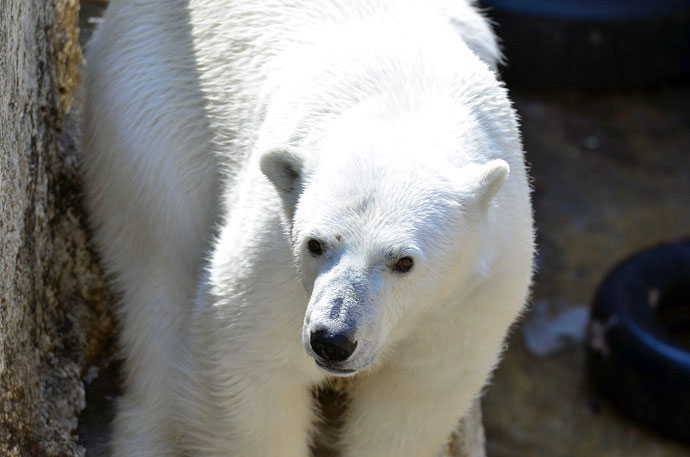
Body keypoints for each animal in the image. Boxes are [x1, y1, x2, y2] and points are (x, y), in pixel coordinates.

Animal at [80, 0, 532, 456]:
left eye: (404, 261)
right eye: (315, 244)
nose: (332, 339)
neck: (403, 111)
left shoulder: (473, 295)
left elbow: (414, 396)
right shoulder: (274, 259)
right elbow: (251, 369)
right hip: (152, 116)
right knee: (160, 273)